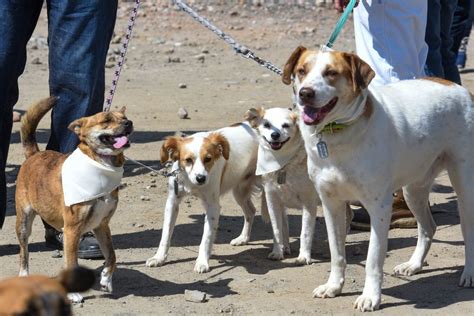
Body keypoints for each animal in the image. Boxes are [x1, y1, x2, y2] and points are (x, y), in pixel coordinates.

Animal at [145, 122, 262, 272]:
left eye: (208, 159)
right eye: (188, 160)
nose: (201, 178)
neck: (191, 182)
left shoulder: (212, 206)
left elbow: (206, 237)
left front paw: (202, 262)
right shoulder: (172, 203)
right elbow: (165, 234)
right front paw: (159, 257)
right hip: (240, 190)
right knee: (251, 211)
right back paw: (243, 238)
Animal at [246, 106, 320, 264]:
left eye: (285, 125)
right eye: (267, 125)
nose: (275, 135)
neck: (283, 166)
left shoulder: (309, 203)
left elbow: (305, 232)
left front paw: (304, 256)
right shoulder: (273, 201)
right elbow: (277, 229)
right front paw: (277, 252)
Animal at [284, 47, 474, 312]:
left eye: (331, 73)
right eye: (302, 71)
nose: (305, 93)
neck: (337, 135)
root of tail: (458, 88)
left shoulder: (379, 207)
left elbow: (374, 259)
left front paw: (370, 297)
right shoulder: (331, 204)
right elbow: (336, 253)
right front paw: (334, 286)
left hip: (464, 186)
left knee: (468, 231)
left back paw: (469, 274)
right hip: (413, 190)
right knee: (428, 226)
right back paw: (414, 265)